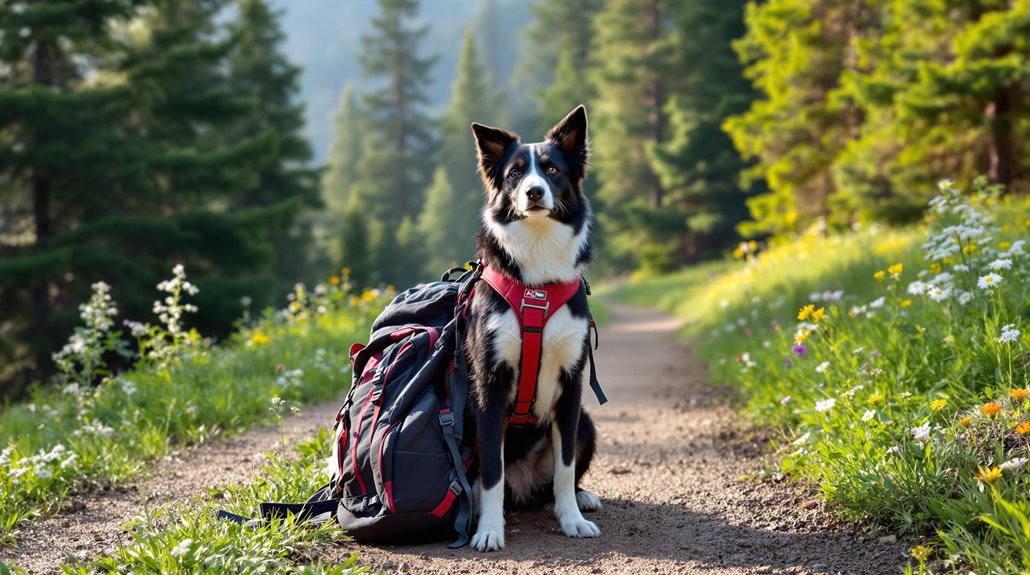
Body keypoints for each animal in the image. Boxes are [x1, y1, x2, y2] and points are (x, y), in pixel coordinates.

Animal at [463, 106, 601, 552]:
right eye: (515, 174)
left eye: (552, 169)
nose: (534, 192)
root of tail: (522, 488)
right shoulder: (489, 386)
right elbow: (491, 472)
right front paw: (489, 530)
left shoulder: (571, 384)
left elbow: (565, 466)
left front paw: (572, 520)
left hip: (587, 422)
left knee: (557, 480)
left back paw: (580, 498)